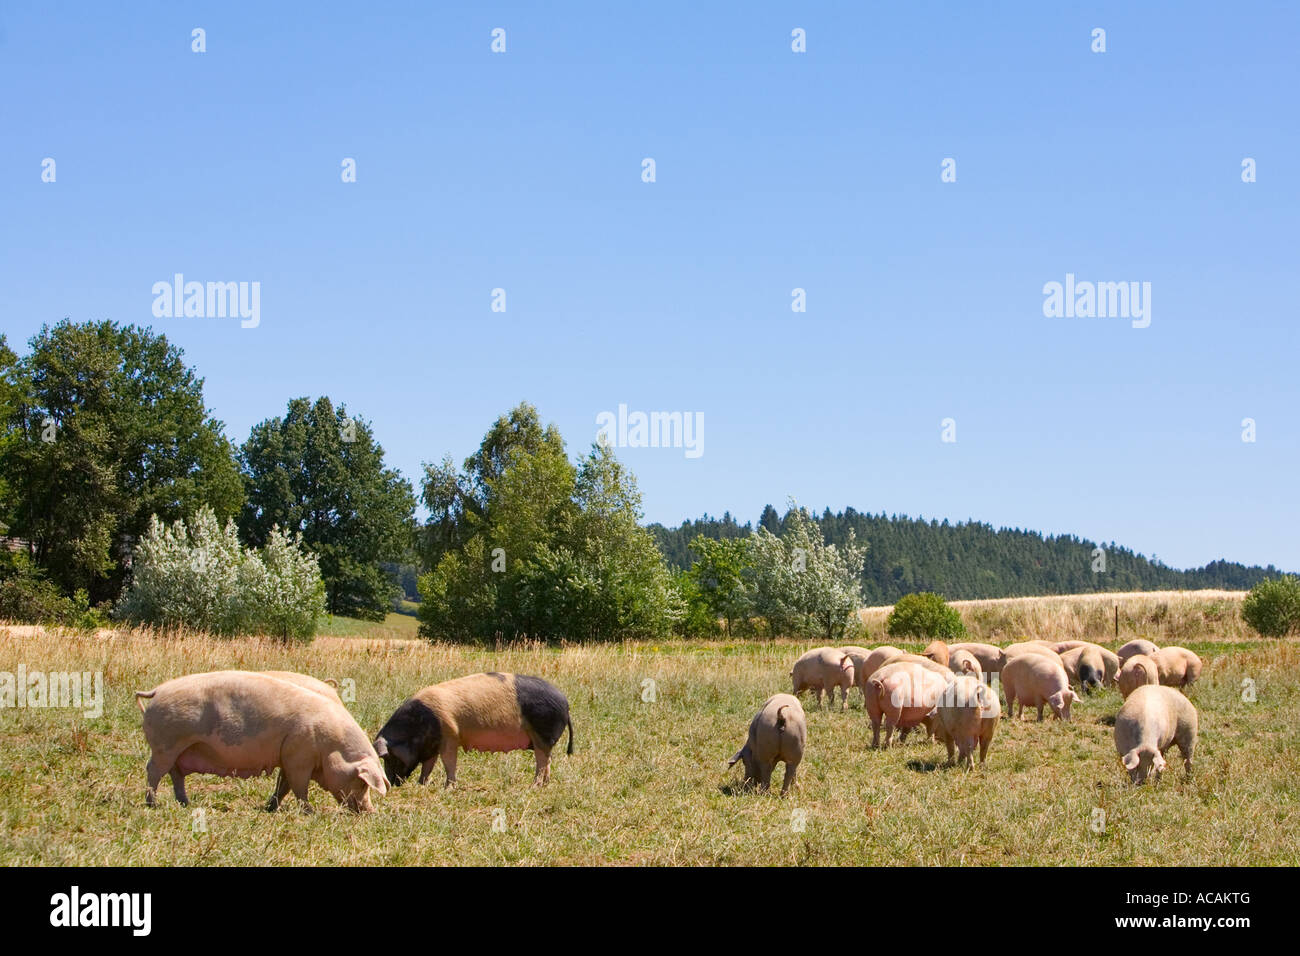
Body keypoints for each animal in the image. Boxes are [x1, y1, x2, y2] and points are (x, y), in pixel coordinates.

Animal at [140, 671, 390, 816]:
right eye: (363, 784)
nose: (370, 811)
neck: (330, 744)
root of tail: (157, 691)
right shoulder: (299, 757)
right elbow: (299, 787)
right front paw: (310, 812)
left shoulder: (287, 756)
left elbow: (283, 786)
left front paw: (271, 808)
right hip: (165, 744)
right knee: (154, 770)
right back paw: (153, 804)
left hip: (178, 750)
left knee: (176, 774)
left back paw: (185, 803)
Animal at [374, 671, 572, 790]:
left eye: (390, 757)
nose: (391, 783)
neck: (415, 728)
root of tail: (565, 704)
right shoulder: (431, 745)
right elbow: (428, 765)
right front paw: (422, 784)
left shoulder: (450, 734)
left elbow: (449, 762)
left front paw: (448, 788)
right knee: (547, 761)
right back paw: (544, 784)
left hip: (543, 733)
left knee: (542, 761)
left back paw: (534, 786)